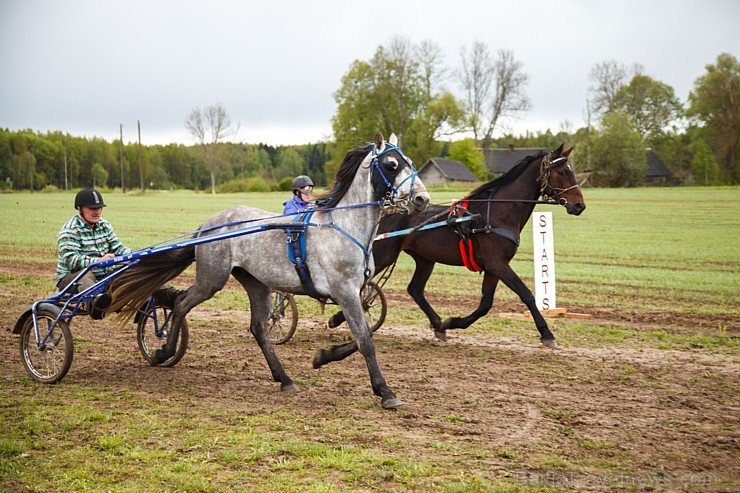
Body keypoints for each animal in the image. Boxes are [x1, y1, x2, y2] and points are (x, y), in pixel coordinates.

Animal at [112, 132, 430, 408]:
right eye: (391, 164)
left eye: (410, 162)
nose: (422, 199)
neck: (342, 226)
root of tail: (209, 224)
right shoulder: (345, 292)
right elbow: (365, 340)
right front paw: (385, 392)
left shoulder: (354, 293)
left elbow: (363, 336)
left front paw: (322, 357)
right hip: (212, 278)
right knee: (180, 304)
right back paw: (164, 351)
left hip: (256, 282)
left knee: (259, 328)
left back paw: (284, 378)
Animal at [316, 144, 588, 368]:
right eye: (562, 172)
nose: (579, 206)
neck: (494, 214)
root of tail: (386, 210)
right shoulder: (498, 264)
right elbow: (526, 295)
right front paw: (547, 334)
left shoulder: (493, 267)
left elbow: (485, 305)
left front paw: (451, 323)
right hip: (384, 253)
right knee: (362, 287)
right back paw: (338, 317)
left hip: (424, 258)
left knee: (415, 289)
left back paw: (438, 325)